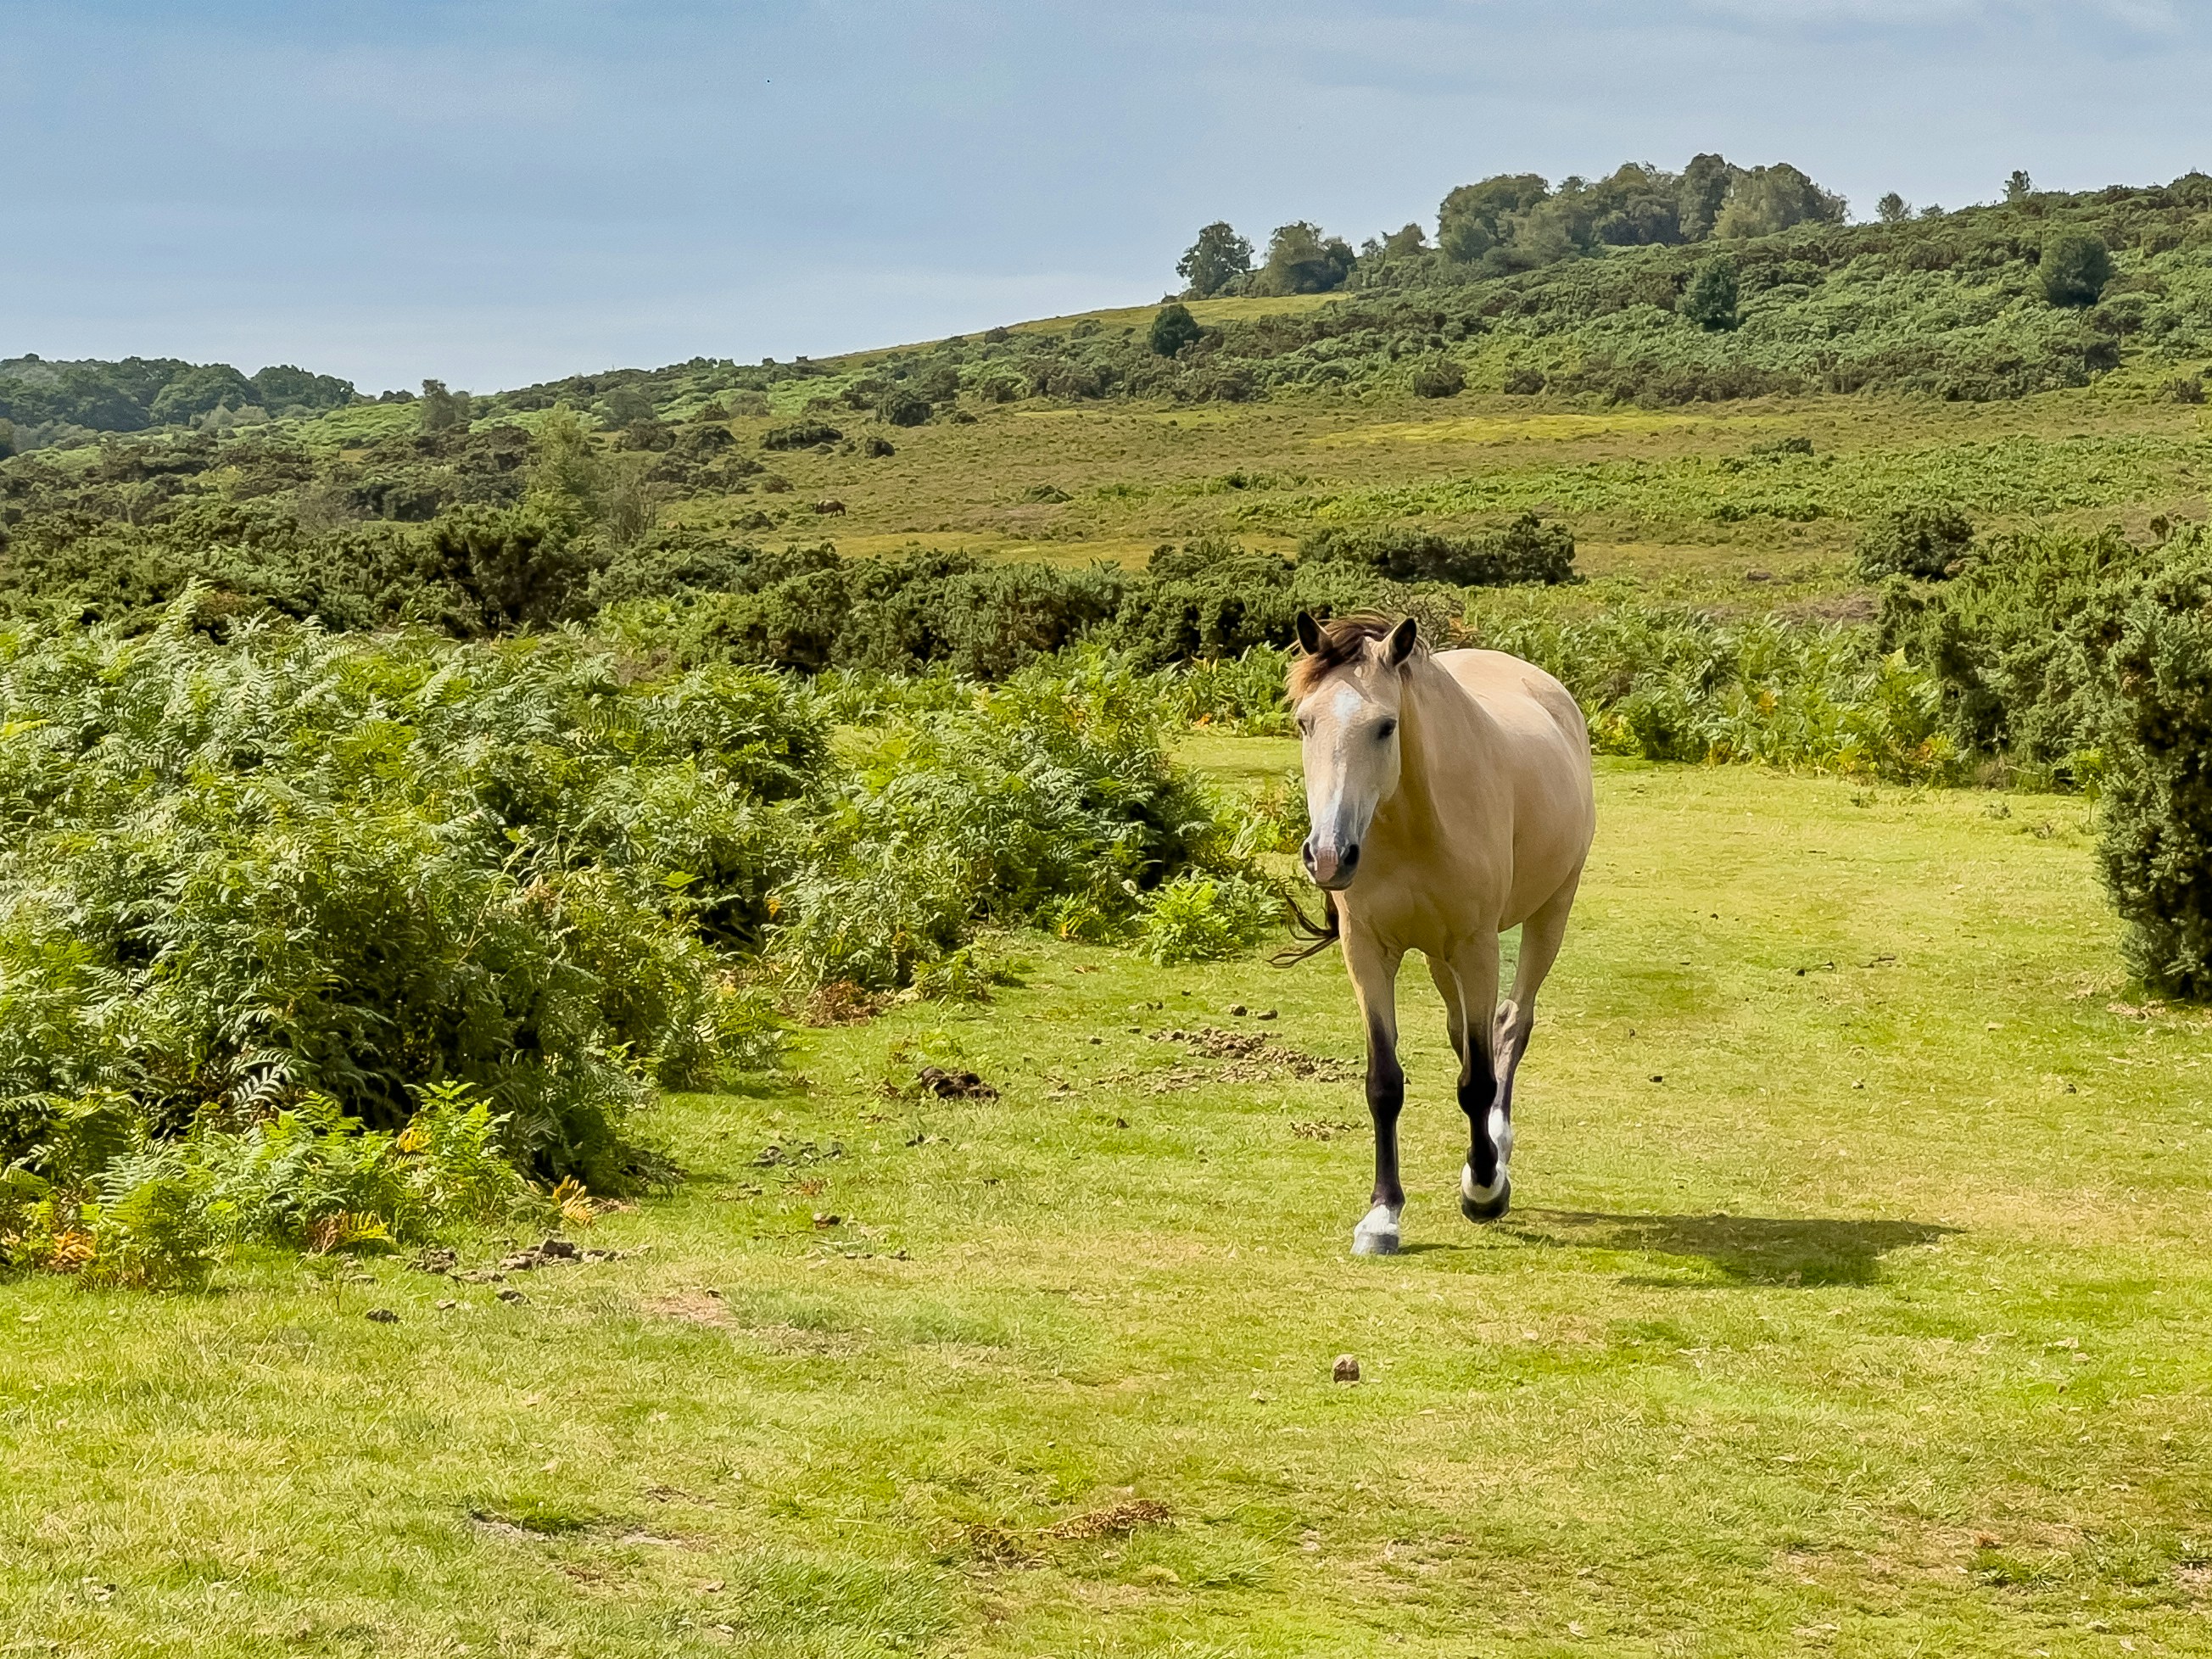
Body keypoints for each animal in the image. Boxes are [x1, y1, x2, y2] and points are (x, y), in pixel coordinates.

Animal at [1286, 611, 1595, 1255]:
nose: (1328, 855)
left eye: (1385, 727)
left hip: (1549, 914)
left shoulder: (1476, 948)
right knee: (1465, 1035)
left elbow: (1478, 1080)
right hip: (1436, 957)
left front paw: (1484, 1189)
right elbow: (1385, 1082)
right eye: (1305, 721)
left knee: (1511, 1025)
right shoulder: (1367, 953)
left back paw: (1496, 1147)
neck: (1409, 825)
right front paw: (1382, 1215)